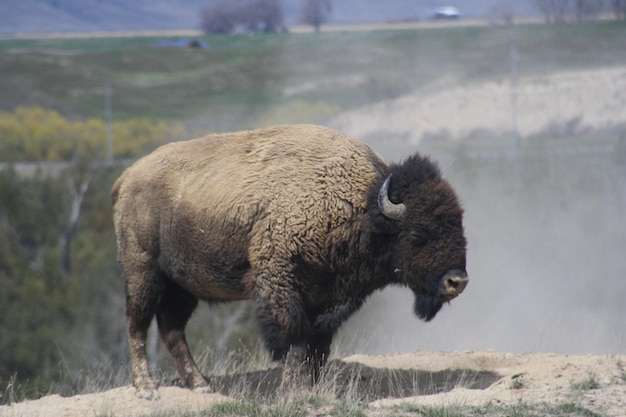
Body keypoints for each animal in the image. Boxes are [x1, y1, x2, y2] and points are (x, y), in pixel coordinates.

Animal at [109, 122, 466, 396]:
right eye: (418, 235)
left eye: (460, 226)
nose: (457, 281)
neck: (362, 206)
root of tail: (127, 177)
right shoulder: (281, 285)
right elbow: (295, 339)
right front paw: (294, 391)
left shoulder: (328, 300)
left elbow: (318, 347)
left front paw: (311, 389)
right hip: (144, 274)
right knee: (137, 324)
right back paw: (147, 389)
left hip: (184, 286)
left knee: (171, 329)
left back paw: (201, 385)